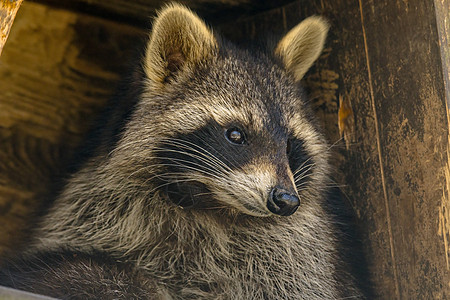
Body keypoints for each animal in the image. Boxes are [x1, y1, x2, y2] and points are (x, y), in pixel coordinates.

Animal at [0, 2, 368, 300]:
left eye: (290, 144)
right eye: (235, 134)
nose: (286, 200)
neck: (210, 203)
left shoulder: (303, 253)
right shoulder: (89, 207)